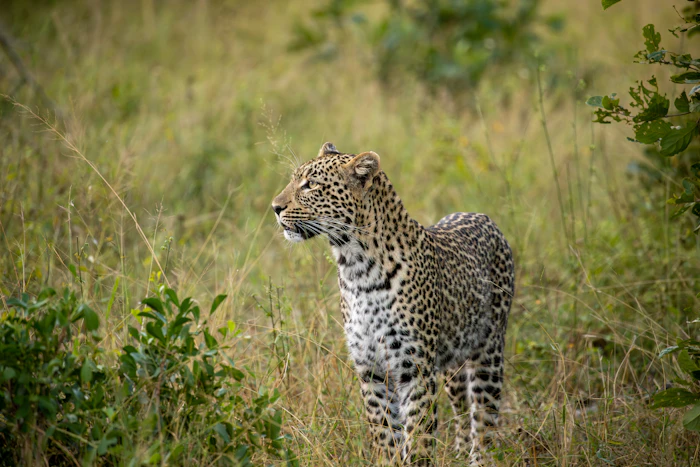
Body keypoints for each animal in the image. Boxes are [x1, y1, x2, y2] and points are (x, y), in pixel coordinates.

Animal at [271, 142, 515, 466]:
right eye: (295, 180)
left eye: (310, 185)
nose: (275, 207)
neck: (356, 269)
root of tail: (484, 217)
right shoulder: (371, 369)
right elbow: (385, 433)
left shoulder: (415, 369)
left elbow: (419, 435)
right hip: (453, 360)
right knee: (462, 410)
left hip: (488, 352)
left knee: (485, 419)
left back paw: (480, 458)